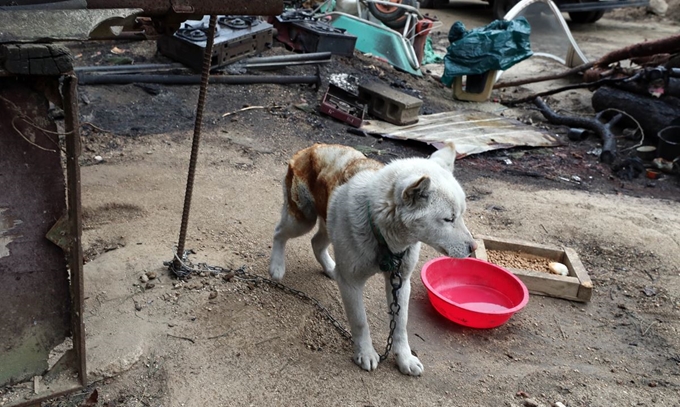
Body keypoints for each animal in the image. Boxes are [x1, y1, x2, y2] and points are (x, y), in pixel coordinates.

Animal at [268, 143, 476, 376]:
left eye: (461, 214)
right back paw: (277, 267)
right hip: (302, 221)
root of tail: (310, 148)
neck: (383, 237)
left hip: (327, 226)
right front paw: (365, 353)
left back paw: (331, 268)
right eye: (448, 219)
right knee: (279, 233)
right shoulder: (351, 284)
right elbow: (360, 322)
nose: (473, 248)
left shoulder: (401, 282)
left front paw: (405, 358)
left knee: (316, 243)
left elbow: (400, 326)